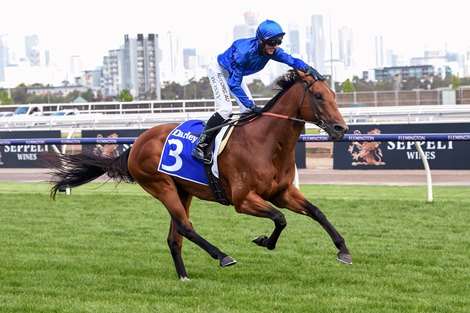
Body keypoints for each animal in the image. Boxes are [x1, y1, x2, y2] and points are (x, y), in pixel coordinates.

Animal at [50, 70, 352, 280]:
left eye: (334, 95)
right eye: (318, 96)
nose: (341, 128)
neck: (265, 142)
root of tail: (136, 143)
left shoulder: (282, 192)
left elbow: (316, 212)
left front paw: (343, 250)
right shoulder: (243, 200)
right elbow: (280, 218)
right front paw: (264, 241)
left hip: (183, 191)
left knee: (175, 237)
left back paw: (184, 276)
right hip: (160, 186)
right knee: (185, 227)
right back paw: (222, 256)